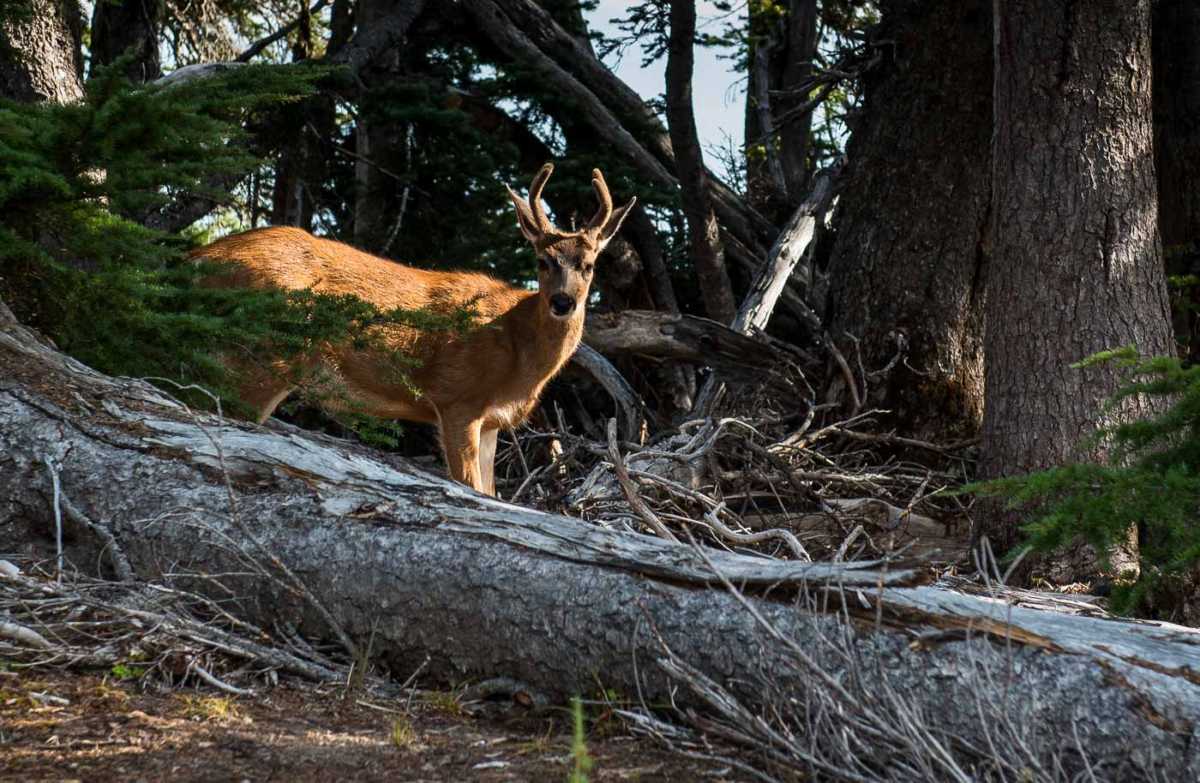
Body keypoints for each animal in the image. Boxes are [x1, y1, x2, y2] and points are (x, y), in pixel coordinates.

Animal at [189, 163, 638, 494]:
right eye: (543, 261)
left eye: (589, 265)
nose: (563, 302)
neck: (517, 348)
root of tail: (199, 257)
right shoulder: (457, 399)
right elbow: (471, 488)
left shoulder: (492, 422)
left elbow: (493, 494)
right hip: (265, 355)